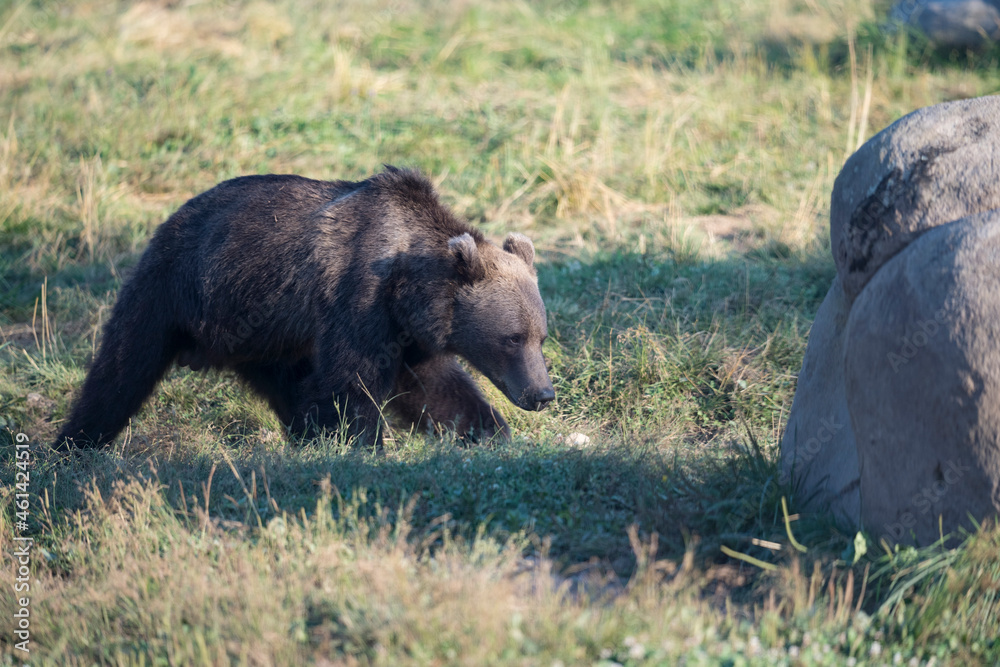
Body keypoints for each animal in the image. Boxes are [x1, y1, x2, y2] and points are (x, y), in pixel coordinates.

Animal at [53, 166, 555, 450]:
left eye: (540, 336)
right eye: (511, 337)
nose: (542, 394)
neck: (407, 286)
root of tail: (172, 217)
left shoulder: (411, 332)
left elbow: (436, 387)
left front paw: (489, 431)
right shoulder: (358, 300)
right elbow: (353, 382)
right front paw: (365, 445)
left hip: (264, 333)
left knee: (288, 386)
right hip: (174, 289)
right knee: (123, 367)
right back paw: (75, 443)